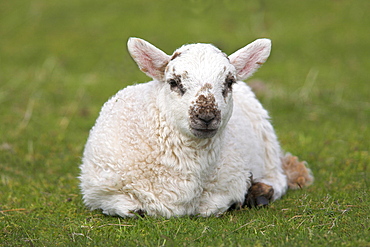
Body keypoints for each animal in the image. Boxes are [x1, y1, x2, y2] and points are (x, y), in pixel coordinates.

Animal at [79, 37, 314, 218]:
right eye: (173, 82)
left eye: (229, 82)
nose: (206, 116)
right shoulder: (98, 190)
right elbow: (130, 208)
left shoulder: (228, 186)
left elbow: (210, 208)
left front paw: (245, 194)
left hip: (268, 146)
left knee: (278, 179)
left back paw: (260, 193)